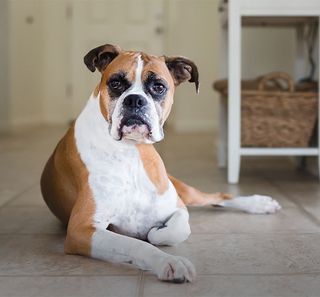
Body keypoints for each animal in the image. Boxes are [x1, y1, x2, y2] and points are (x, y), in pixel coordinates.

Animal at [40, 44, 280, 282]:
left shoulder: (177, 208)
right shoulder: (82, 229)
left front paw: (155, 233)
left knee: (219, 197)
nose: (134, 100)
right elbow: (135, 245)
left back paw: (259, 203)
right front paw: (169, 262)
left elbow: (173, 231)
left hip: (186, 192)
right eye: (116, 83)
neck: (130, 152)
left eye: (158, 87)